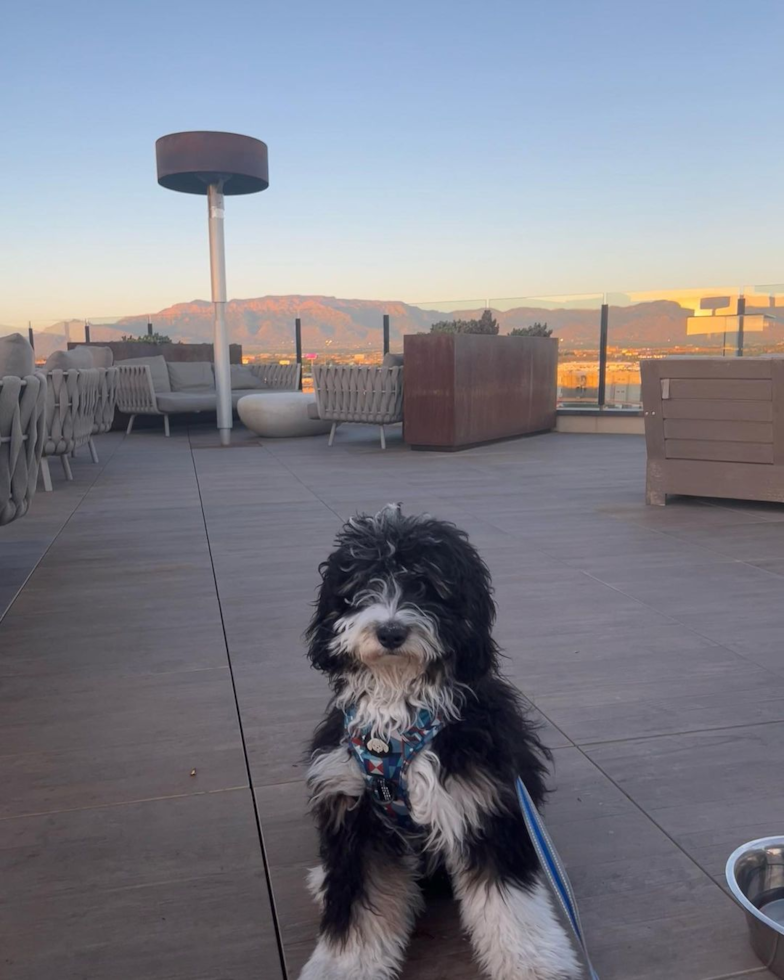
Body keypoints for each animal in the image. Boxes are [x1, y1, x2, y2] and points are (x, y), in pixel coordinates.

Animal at [298, 506, 580, 980]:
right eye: (364, 581)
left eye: (427, 586)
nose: (391, 632)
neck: (400, 708)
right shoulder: (354, 812)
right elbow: (356, 909)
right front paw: (343, 967)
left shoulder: (484, 803)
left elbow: (510, 906)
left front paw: (533, 966)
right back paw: (323, 880)